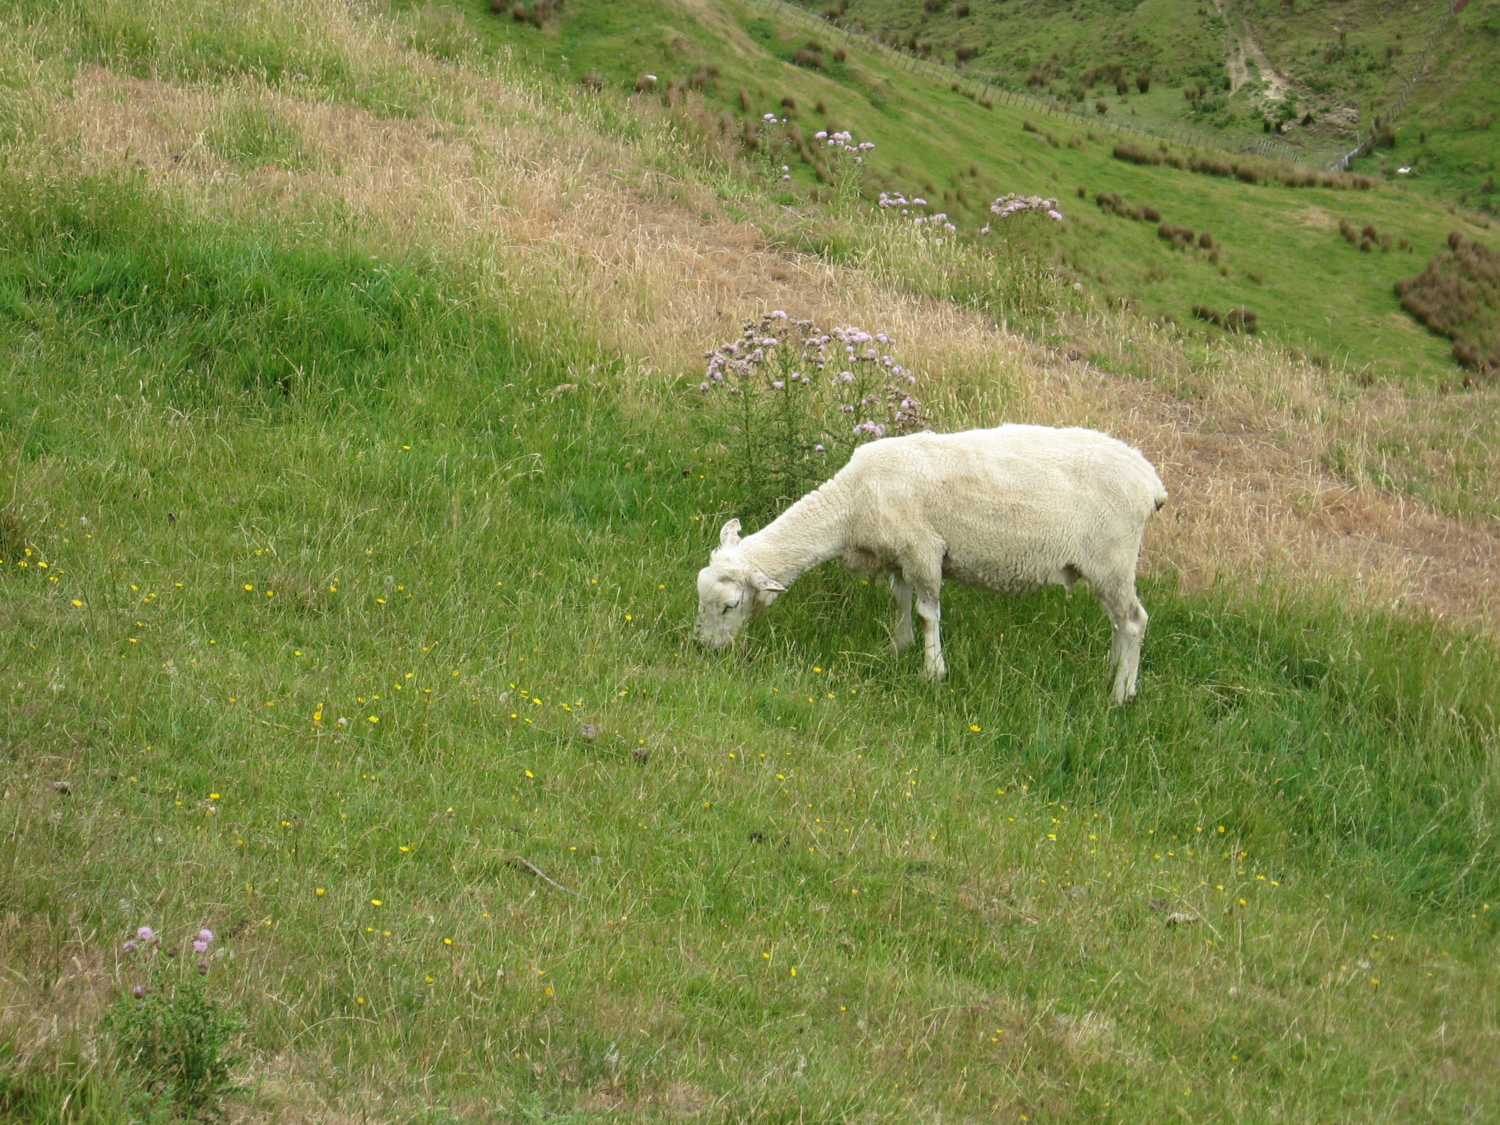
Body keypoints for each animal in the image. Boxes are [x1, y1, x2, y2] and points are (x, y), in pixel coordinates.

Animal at [693, 426, 1170, 705]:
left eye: (730, 606)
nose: (703, 650)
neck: (851, 505)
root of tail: (1151, 481)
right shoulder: (900, 553)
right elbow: (899, 601)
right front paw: (897, 648)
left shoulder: (923, 550)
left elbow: (927, 613)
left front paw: (933, 671)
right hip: (1108, 566)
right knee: (1118, 622)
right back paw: (1114, 672)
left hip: (1112, 557)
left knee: (1134, 621)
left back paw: (1121, 693)